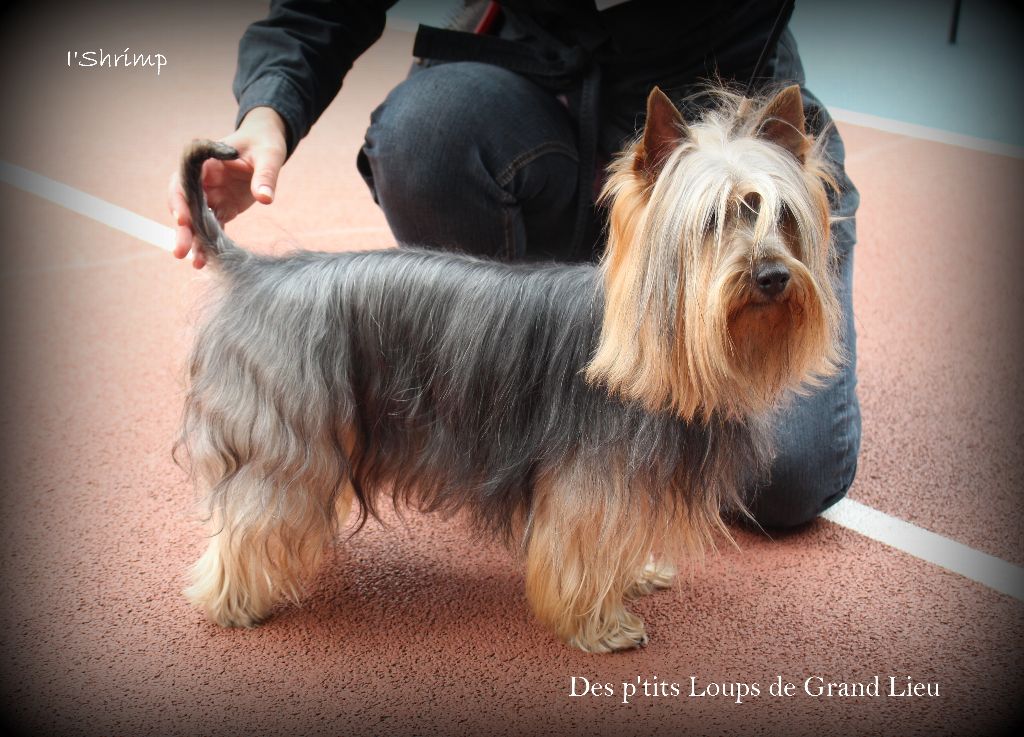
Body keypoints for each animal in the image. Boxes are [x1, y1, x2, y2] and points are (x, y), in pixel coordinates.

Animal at [178, 83, 839, 655]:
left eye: (783, 217)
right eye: (711, 222)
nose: (771, 276)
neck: (660, 353)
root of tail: (259, 272)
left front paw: (636, 576)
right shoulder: (588, 483)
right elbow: (580, 551)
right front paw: (601, 625)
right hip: (289, 441)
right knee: (255, 515)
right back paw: (235, 601)